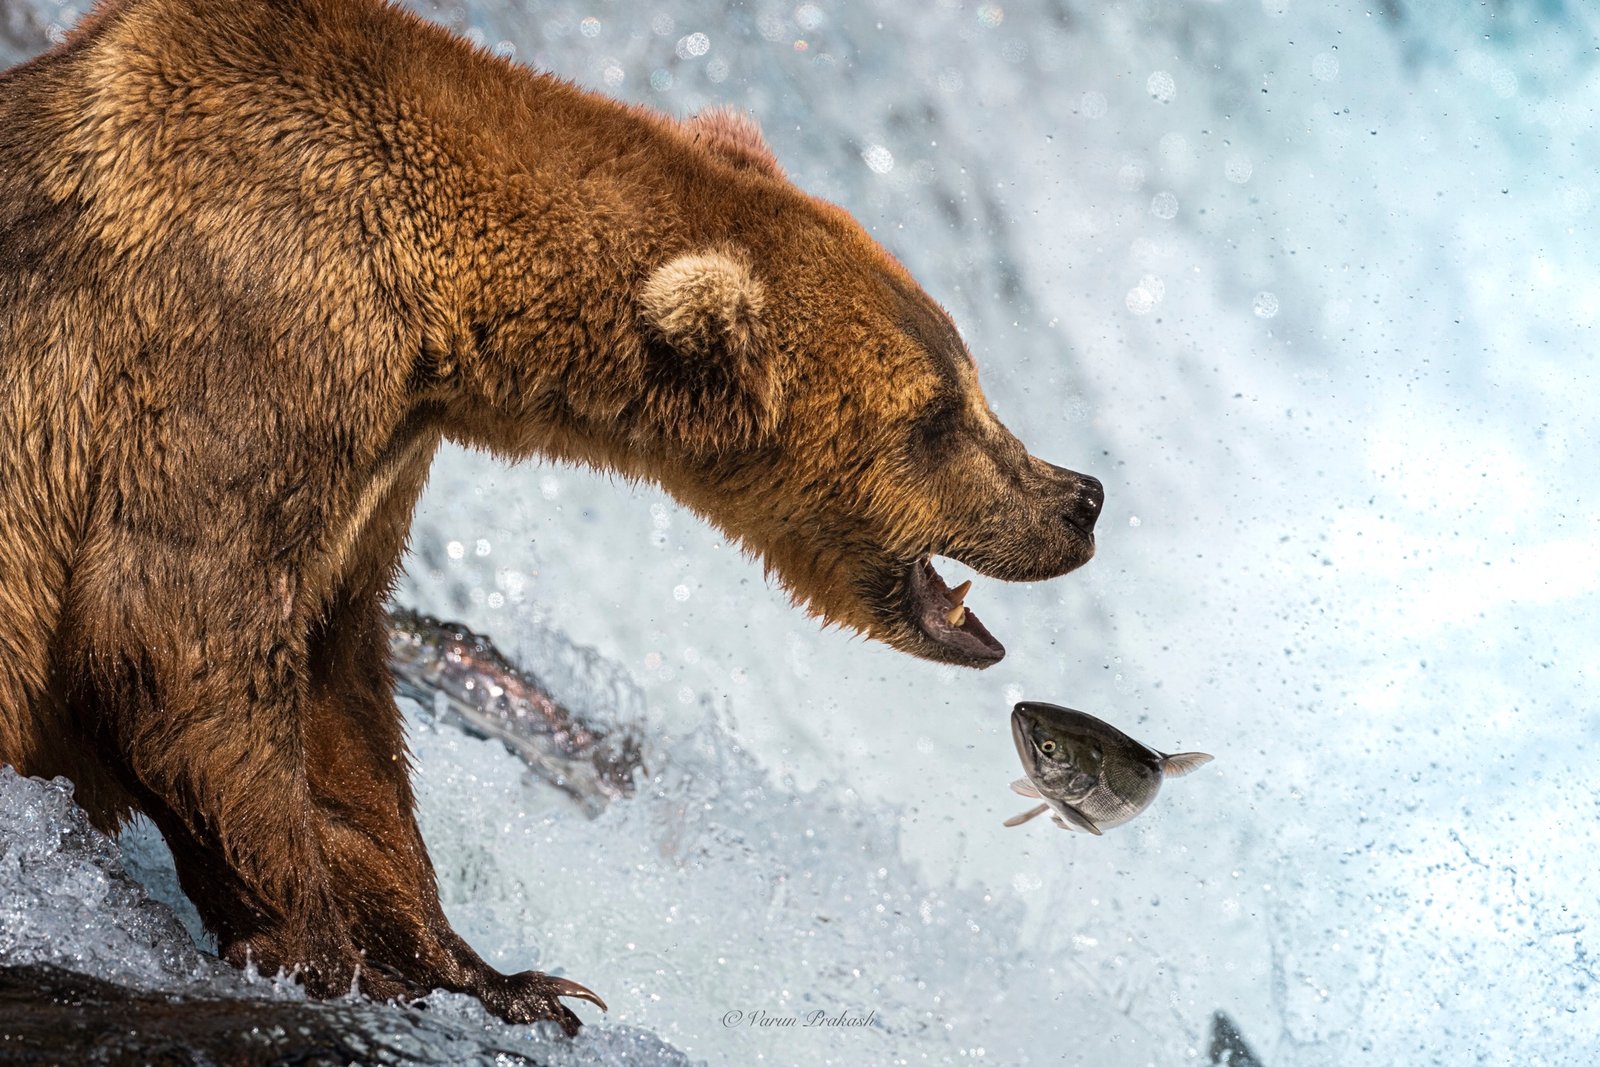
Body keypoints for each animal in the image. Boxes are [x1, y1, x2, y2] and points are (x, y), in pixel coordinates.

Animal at [0, 0, 1104, 1033]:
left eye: (970, 377)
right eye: (937, 414)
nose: (1080, 496)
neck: (438, 302)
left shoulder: (380, 449)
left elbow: (334, 694)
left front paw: (495, 974)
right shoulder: (251, 332)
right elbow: (172, 637)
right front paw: (340, 960)